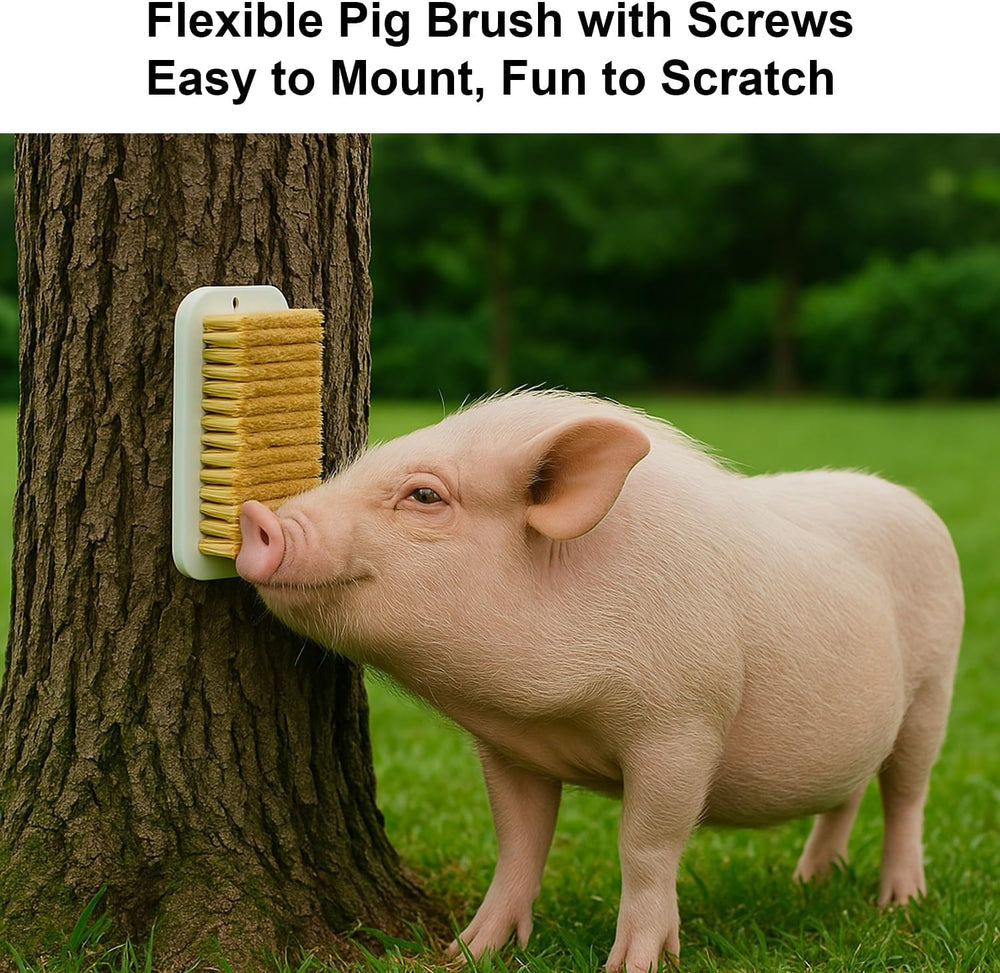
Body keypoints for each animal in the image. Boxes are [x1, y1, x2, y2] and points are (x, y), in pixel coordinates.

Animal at [235, 391, 963, 972]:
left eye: (424, 495)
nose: (257, 518)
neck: (555, 708)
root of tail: (911, 500)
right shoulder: (508, 748)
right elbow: (518, 842)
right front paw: (467, 951)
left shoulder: (684, 723)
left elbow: (645, 843)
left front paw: (633, 965)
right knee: (848, 793)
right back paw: (810, 881)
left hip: (935, 686)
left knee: (907, 791)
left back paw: (899, 901)